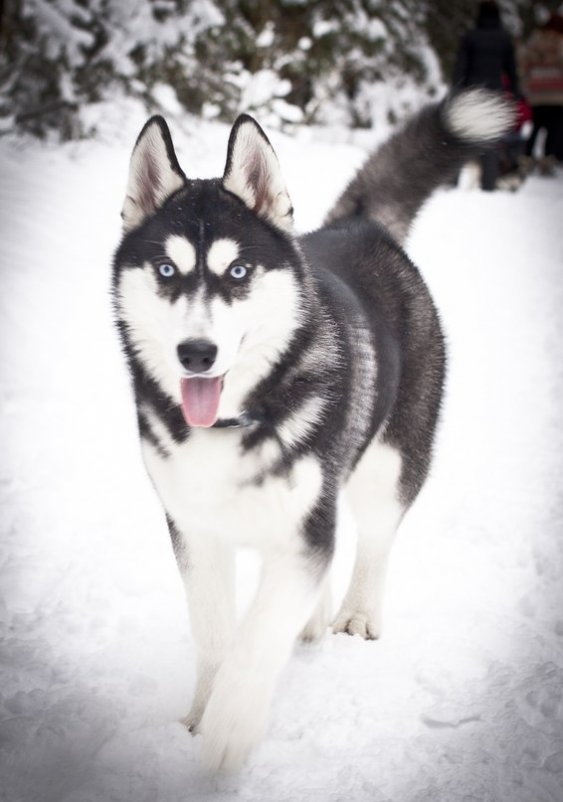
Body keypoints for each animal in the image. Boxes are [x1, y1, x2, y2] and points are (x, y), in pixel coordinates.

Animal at [112, 87, 512, 768]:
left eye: (238, 272)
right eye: (167, 271)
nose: (196, 353)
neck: (236, 419)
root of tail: (361, 226)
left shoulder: (305, 529)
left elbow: (257, 636)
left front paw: (229, 727)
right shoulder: (195, 529)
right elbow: (214, 631)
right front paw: (202, 713)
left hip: (387, 465)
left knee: (374, 538)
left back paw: (356, 613)